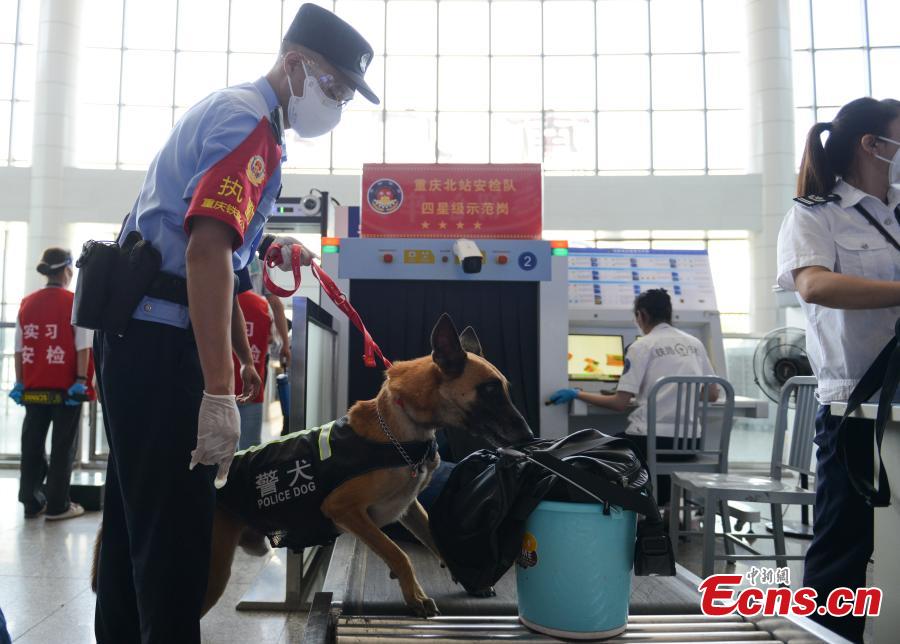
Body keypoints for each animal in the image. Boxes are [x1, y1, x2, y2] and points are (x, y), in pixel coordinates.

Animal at [92, 313, 533, 617]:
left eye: (504, 388)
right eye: (490, 390)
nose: (528, 434)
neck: (401, 429)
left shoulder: (411, 510)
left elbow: (438, 539)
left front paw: (467, 577)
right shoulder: (345, 511)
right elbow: (398, 554)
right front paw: (415, 594)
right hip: (210, 575)